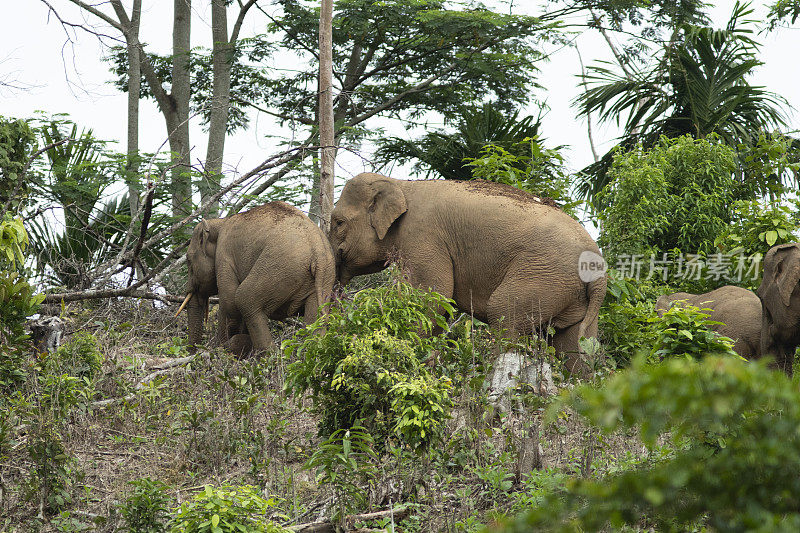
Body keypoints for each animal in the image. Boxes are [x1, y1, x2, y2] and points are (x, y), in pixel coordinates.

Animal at [177, 202, 336, 356]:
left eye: (188, 260)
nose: (193, 351)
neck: (221, 221)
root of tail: (317, 251)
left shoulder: (224, 256)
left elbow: (229, 303)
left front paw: (223, 347)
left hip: (278, 268)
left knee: (244, 299)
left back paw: (266, 356)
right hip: (323, 276)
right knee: (314, 317)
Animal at [326, 172, 608, 372]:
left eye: (338, 223)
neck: (402, 184)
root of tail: (600, 275)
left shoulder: (423, 236)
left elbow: (433, 296)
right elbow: (438, 306)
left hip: (543, 273)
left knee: (503, 312)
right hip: (572, 293)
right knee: (574, 344)